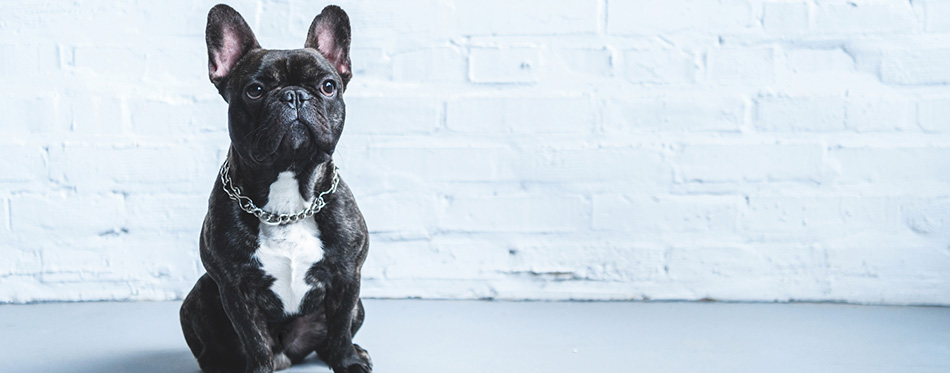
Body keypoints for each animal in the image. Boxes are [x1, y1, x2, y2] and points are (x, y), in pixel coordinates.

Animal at [180, 3, 374, 372]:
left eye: (328, 86)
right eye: (255, 90)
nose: (294, 95)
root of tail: (290, 353)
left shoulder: (347, 277)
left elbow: (341, 327)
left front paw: (348, 361)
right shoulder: (234, 288)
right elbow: (254, 341)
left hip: (357, 306)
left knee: (332, 336)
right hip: (199, 297)